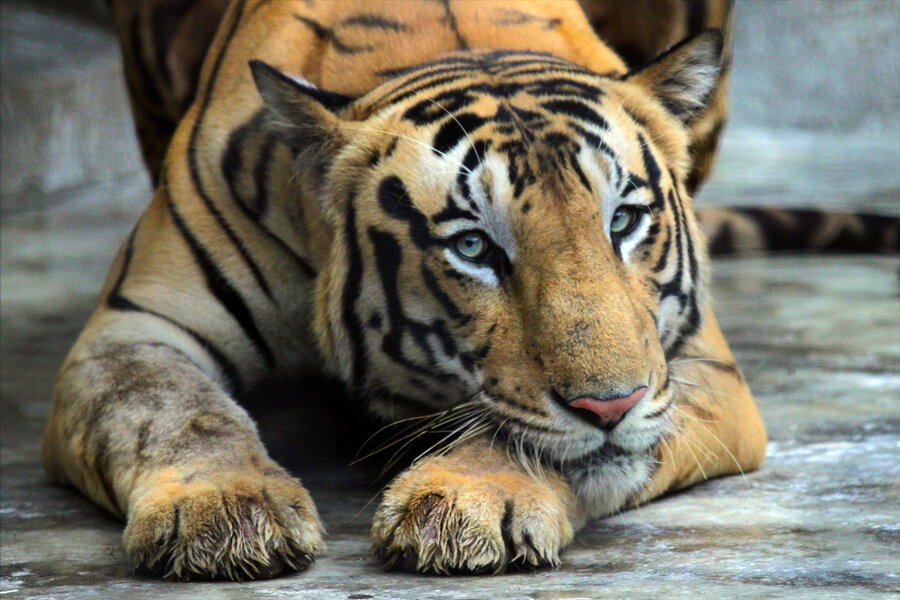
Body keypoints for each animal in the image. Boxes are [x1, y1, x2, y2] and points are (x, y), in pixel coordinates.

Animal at [42, 0, 900, 580]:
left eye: (623, 220)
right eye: (473, 247)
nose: (611, 406)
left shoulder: (698, 365)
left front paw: (466, 500)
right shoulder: (134, 325)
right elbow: (170, 409)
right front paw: (222, 509)